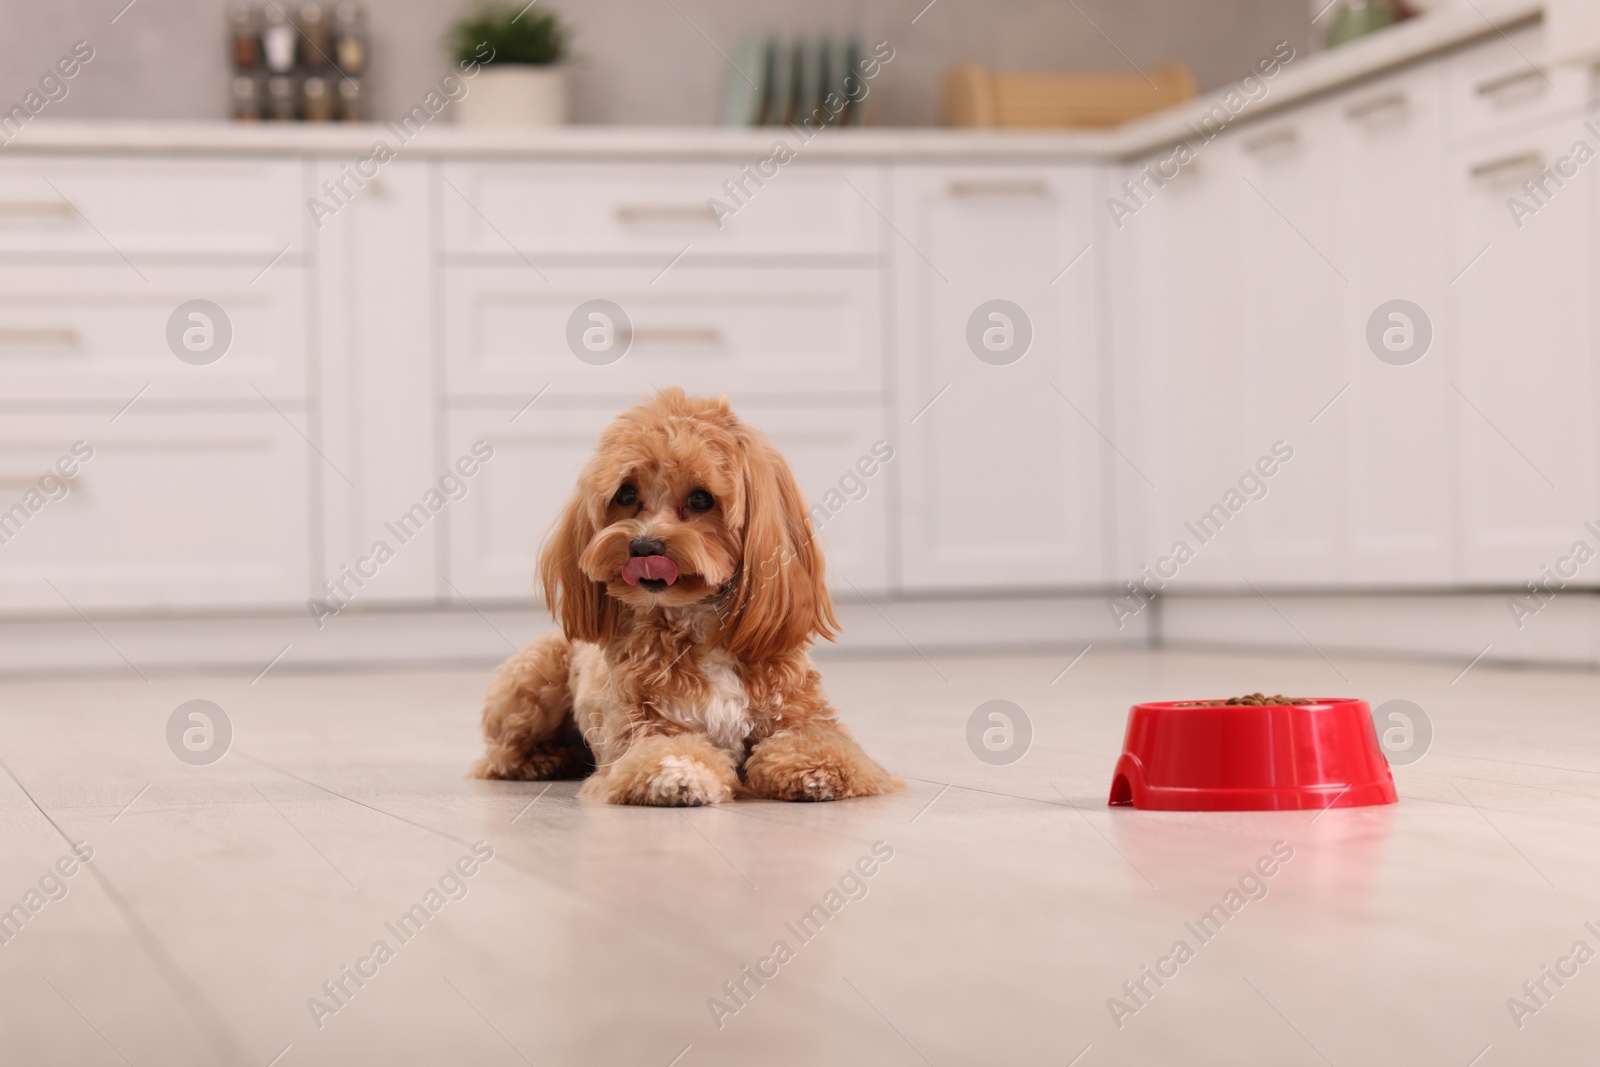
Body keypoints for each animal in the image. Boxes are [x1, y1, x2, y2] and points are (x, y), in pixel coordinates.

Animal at [470, 388, 902, 806]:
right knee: (500, 752)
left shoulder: (801, 715)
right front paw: (679, 774)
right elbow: (664, 752)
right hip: (531, 683)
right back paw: (541, 760)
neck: (699, 622)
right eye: (625, 494)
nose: (644, 547)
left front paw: (817, 771)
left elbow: (821, 744)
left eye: (699, 499)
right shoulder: (644, 725)